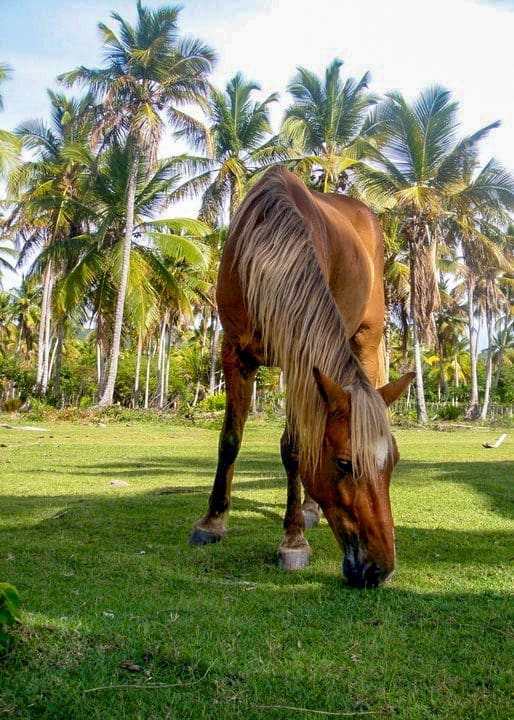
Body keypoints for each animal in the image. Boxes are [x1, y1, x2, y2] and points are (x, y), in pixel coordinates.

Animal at [188, 166, 412, 588]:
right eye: (344, 464)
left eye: (393, 462)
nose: (381, 570)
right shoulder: (234, 352)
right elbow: (230, 440)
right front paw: (212, 521)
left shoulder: (300, 364)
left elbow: (295, 448)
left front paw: (292, 540)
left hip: (365, 340)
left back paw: (307, 512)